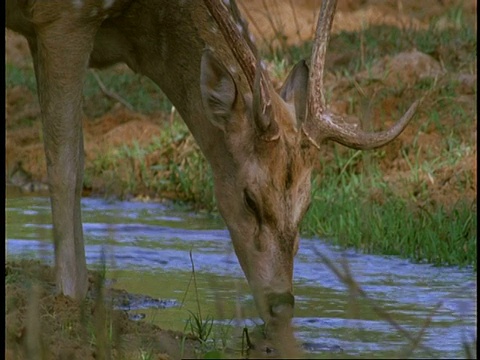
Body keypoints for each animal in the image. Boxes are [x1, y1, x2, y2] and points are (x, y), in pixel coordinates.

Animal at [7, 0, 418, 334]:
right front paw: (70, 300)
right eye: (250, 199)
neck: (135, 29)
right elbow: (66, 164)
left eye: (308, 203)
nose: (282, 305)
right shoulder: (65, 18)